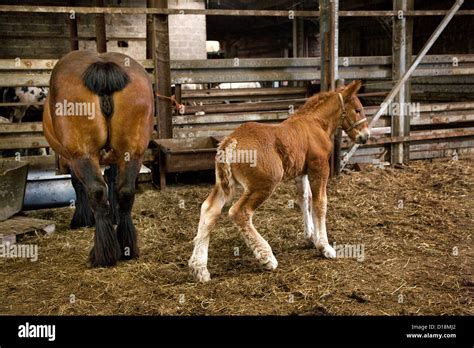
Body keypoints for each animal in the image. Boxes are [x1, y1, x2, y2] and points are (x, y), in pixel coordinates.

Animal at [42, 50, 154, 266]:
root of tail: (102, 65)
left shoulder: (73, 159)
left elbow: (78, 185)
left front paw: (83, 219)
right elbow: (112, 180)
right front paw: (114, 216)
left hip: (83, 154)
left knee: (96, 191)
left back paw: (103, 253)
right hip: (133, 152)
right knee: (125, 192)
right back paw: (126, 247)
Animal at [190, 80, 370, 282]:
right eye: (358, 110)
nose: (366, 136)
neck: (315, 123)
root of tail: (231, 141)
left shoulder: (301, 172)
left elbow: (304, 199)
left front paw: (310, 236)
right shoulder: (320, 168)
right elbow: (320, 203)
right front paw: (325, 247)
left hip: (225, 184)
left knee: (209, 209)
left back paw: (200, 269)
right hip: (264, 184)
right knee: (239, 212)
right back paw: (267, 258)